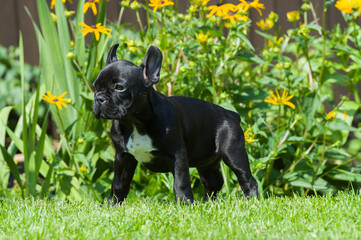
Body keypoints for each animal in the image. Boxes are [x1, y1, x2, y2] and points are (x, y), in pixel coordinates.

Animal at [91, 44, 258, 205]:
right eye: (94, 87)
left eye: (119, 87)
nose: (99, 98)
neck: (134, 123)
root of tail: (231, 114)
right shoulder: (123, 157)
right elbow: (119, 183)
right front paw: (112, 204)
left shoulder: (177, 155)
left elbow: (181, 182)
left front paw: (185, 203)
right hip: (206, 163)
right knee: (213, 182)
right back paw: (206, 204)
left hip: (233, 153)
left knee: (247, 179)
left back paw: (251, 202)